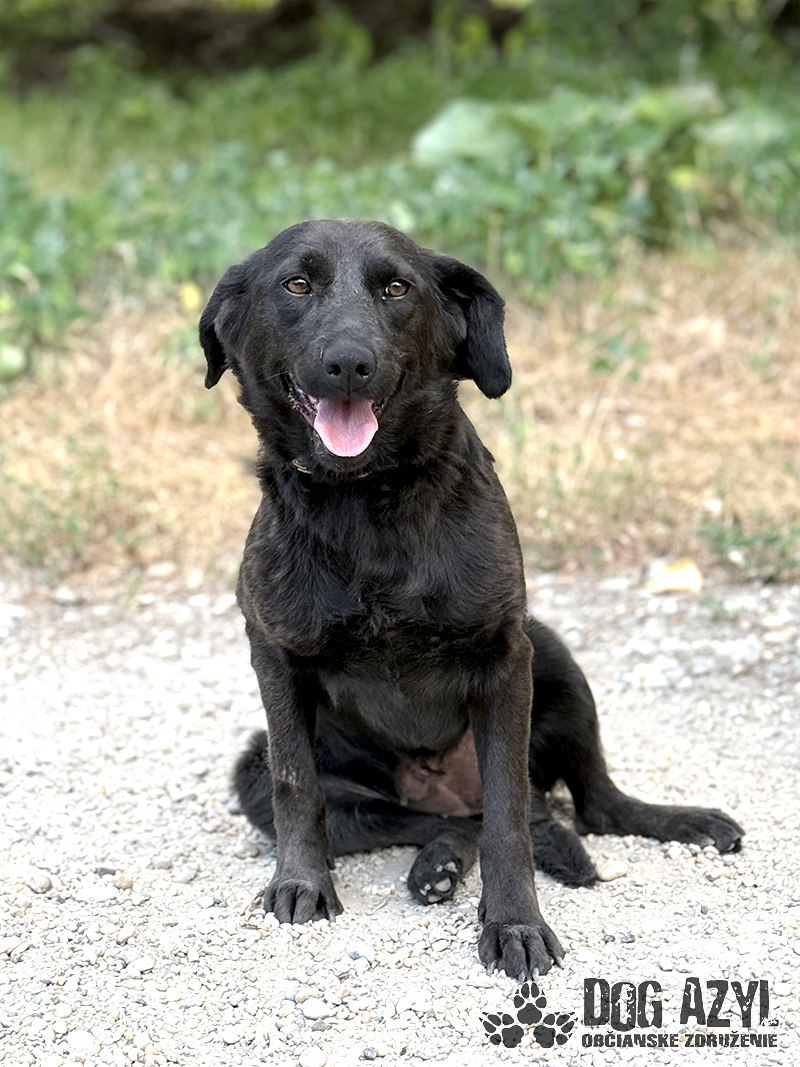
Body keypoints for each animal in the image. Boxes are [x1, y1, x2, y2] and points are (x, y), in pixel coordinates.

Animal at [199, 219, 742, 980]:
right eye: (296, 284)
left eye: (397, 288)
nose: (348, 363)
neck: (367, 503)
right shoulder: (274, 655)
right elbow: (295, 785)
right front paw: (302, 883)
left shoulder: (504, 657)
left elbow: (509, 816)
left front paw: (515, 922)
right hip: (266, 768)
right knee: (446, 819)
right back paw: (437, 867)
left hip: (553, 654)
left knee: (587, 804)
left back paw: (676, 820)